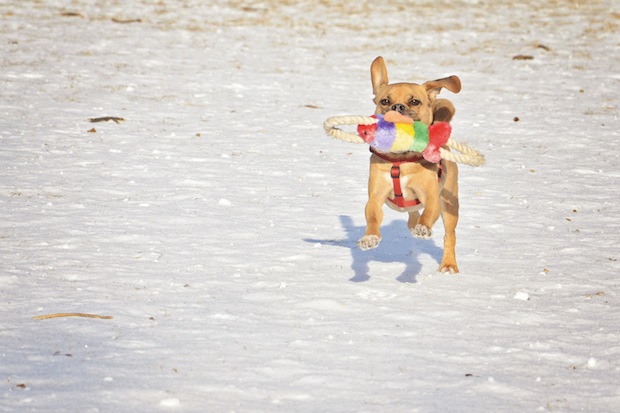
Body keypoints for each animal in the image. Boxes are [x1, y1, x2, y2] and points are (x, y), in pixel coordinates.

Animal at [356, 55, 462, 274]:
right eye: (385, 101)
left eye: (414, 101)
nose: (397, 108)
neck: (401, 160)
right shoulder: (375, 197)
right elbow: (372, 217)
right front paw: (369, 237)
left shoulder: (431, 196)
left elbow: (429, 213)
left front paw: (423, 228)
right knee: (411, 214)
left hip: (450, 205)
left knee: (450, 235)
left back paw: (448, 264)